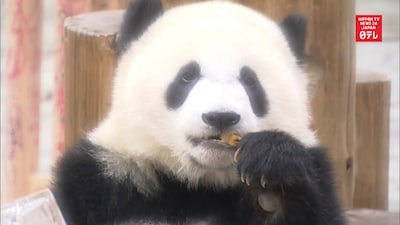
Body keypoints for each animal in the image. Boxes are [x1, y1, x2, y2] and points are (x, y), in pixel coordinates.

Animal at [52, 0, 346, 225]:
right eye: (187, 76)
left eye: (250, 82)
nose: (221, 117)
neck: (197, 186)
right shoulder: (101, 180)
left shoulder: (316, 173)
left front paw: (271, 175)